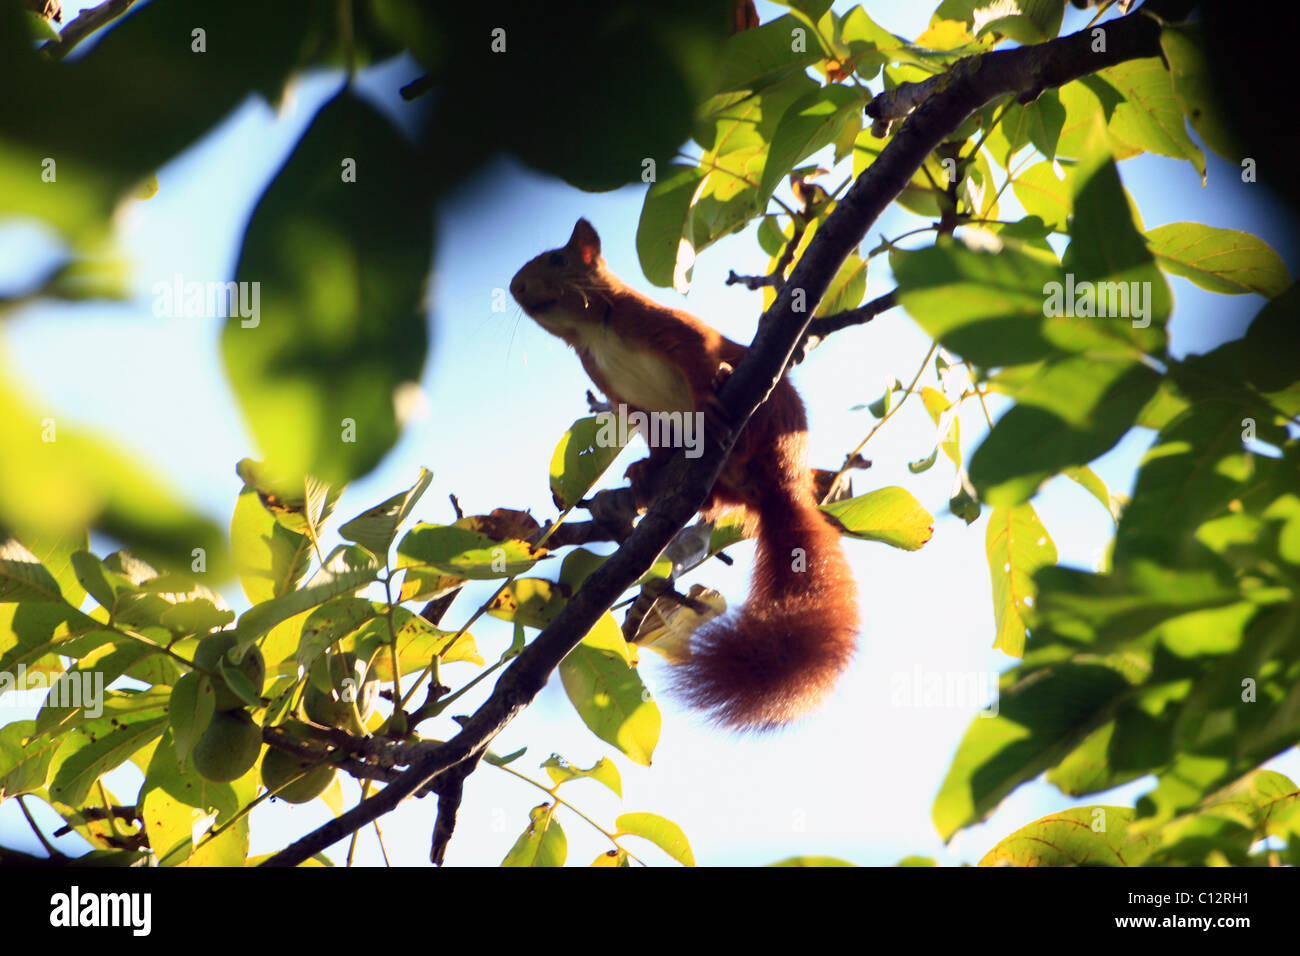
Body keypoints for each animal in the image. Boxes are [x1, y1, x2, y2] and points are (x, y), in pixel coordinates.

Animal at [509, 218, 863, 733]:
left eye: (558, 259)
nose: (514, 288)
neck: (596, 330)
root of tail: (781, 488)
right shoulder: (625, 400)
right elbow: (654, 437)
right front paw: (644, 470)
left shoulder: (666, 326)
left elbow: (698, 356)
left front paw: (707, 399)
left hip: (776, 415)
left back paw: (730, 402)